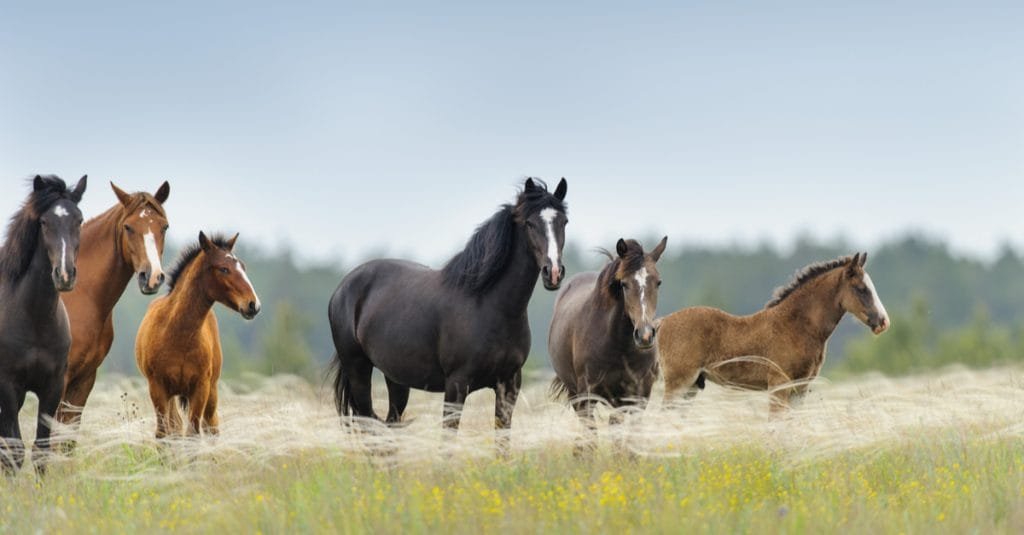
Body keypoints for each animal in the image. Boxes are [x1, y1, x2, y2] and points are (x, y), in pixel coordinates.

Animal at [0, 175, 87, 474]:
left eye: (79, 220)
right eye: (44, 222)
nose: (65, 274)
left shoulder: (53, 387)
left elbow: (41, 450)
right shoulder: (8, 386)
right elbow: (13, 451)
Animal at [135, 232, 261, 438]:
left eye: (243, 266)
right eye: (224, 269)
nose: (253, 305)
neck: (178, 333)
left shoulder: (201, 387)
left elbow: (193, 433)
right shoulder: (158, 387)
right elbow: (163, 433)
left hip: (212, 391)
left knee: (211, 427)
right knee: (175, 427)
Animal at [328, 177, 568, 453]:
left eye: (563, 222)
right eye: (530, 223)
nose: (553, 273)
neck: (489, 305)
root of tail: (344, 287)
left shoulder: (509, 385)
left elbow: (502, 442)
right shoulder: (456, 385)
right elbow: (448, 441)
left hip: (395, 379)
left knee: (389, 425)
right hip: (358, 370)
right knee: (368, 424)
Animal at [548, 237, 667, 451]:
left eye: (658, 282)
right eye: (624, 284)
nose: (645, 335)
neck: (618, 346)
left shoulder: (639, 395)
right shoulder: (587, 394)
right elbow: (592, 437)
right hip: (575, 393)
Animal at [658, 252, 890, 413]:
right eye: (861, 289)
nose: (883, 322)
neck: (796, 325)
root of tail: (662, 322)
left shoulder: (800, 388)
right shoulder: (779, 384)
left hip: (692, 386)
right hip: (679, 382)